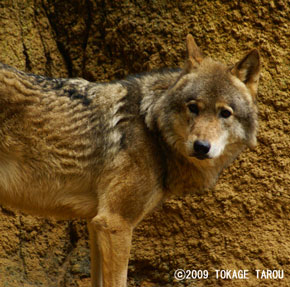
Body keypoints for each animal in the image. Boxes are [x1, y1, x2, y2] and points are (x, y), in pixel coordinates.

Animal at [0, 35, 260, 286]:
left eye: (225, 113)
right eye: (193, 107)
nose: (201, 147)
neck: (151, 127)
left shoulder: (95, 223)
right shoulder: (115, 223)